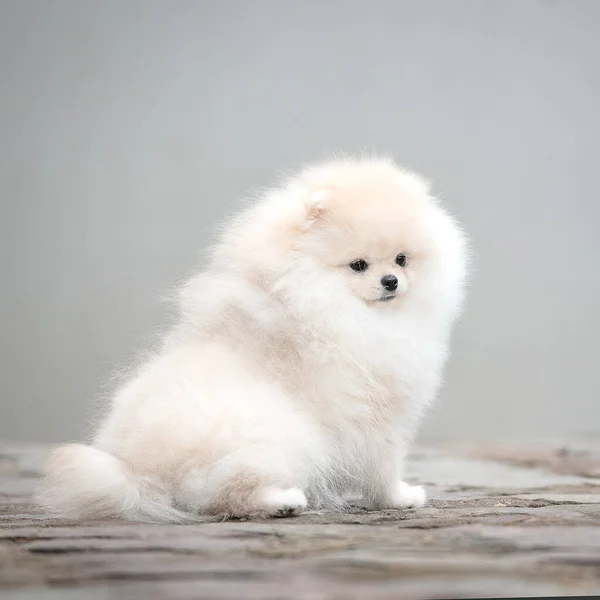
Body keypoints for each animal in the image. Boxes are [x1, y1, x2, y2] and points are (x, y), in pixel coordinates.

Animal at [37, 157, 468, 524]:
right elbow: (383, 468)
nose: (391, 281)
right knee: (227, 495)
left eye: (402, 259)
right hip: (275, 434)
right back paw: (282, 502)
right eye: (359, 265)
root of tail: (141, 474)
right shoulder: (375, 413)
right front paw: (401, 497)